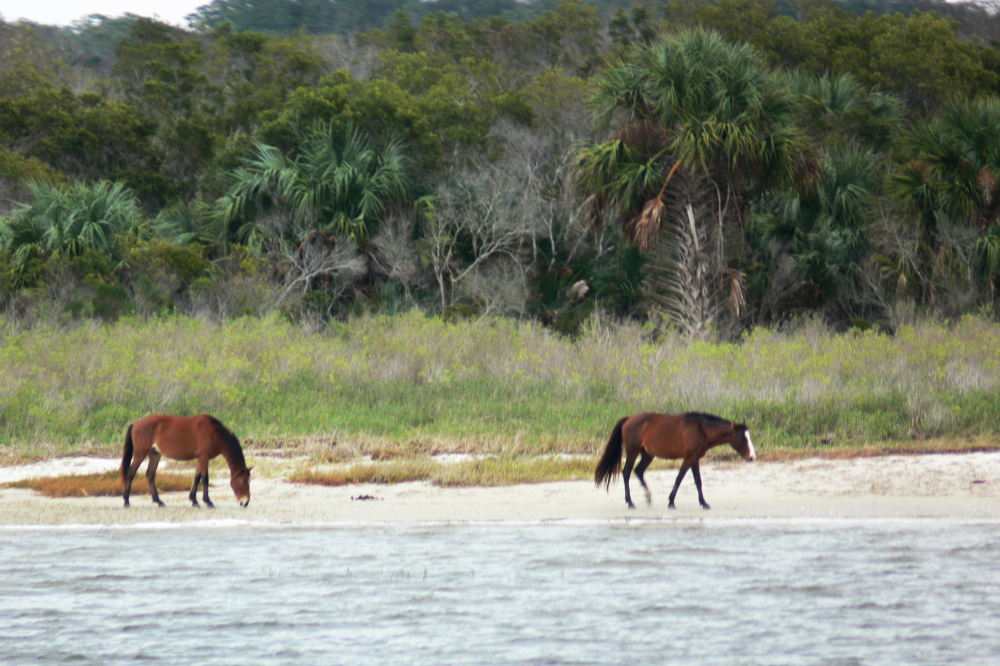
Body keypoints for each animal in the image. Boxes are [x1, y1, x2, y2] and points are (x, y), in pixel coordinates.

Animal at [120, 414, 252, 508]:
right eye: (244, 481)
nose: (245, 502)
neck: (214, 433)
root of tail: (136, 423)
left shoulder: (201, 458)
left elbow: (197, 477)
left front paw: (194, 500)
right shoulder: (204, 457)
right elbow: (205, 478)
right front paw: (208, 501)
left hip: (155, 455)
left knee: (150, 475)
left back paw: (159, 501)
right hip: (140, 454)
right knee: (131, 473)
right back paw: (126, 501)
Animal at [594, 412, 756, 509]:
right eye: (743, 438)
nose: (752, 457)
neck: (701, 429)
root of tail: (628, 419)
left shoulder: (688, 459)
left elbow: (679, 478)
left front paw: (671, 501)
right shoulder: (693, 458)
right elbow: (698, 480)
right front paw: (703, 503)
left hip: (647, 454)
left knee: (638, 472)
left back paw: (648, 498)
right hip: (633, 452)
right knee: (627, 473)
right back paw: (630, 502)